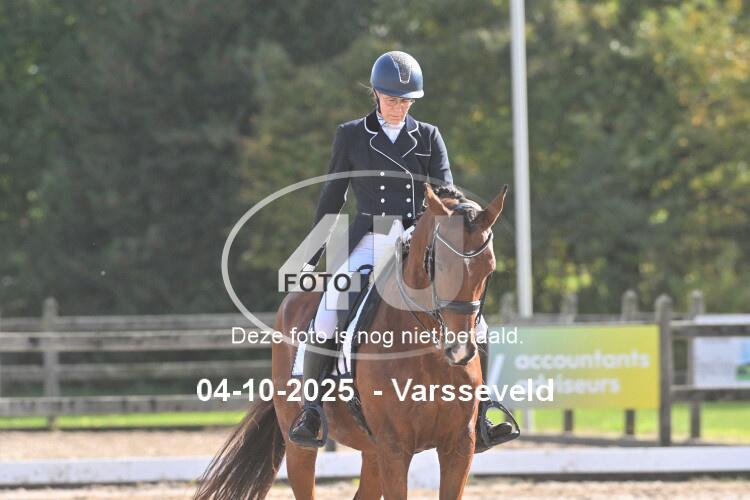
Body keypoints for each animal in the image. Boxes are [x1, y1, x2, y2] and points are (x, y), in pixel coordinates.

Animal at [194, 182, 509, 500]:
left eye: (489, 269)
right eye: (439, 266)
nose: (460, 350)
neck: (428, 353)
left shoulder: (459, 446)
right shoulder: (394, 448)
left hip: (371, 450)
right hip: (300, 447)